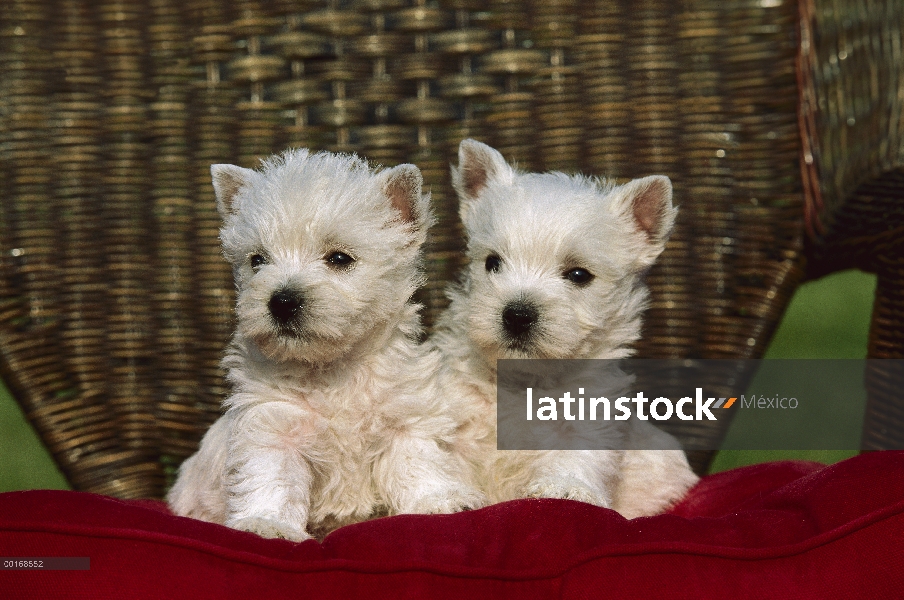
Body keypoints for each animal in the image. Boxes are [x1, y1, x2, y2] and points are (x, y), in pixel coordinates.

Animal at [167, 149, 484, 540]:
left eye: (339, 258)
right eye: (257, 260)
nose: (282, 302)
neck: (333, 370)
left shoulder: (405, 417)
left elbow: (417, 463)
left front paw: (440, 500)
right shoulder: (273, 428)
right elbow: (273, 480)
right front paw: (268, 524)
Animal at [430, 138, 700, 516]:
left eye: (578, 275)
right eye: (492, 262)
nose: (517, 315)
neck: (528, 380)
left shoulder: (589, 421)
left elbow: (576, 457)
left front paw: (566, 488)